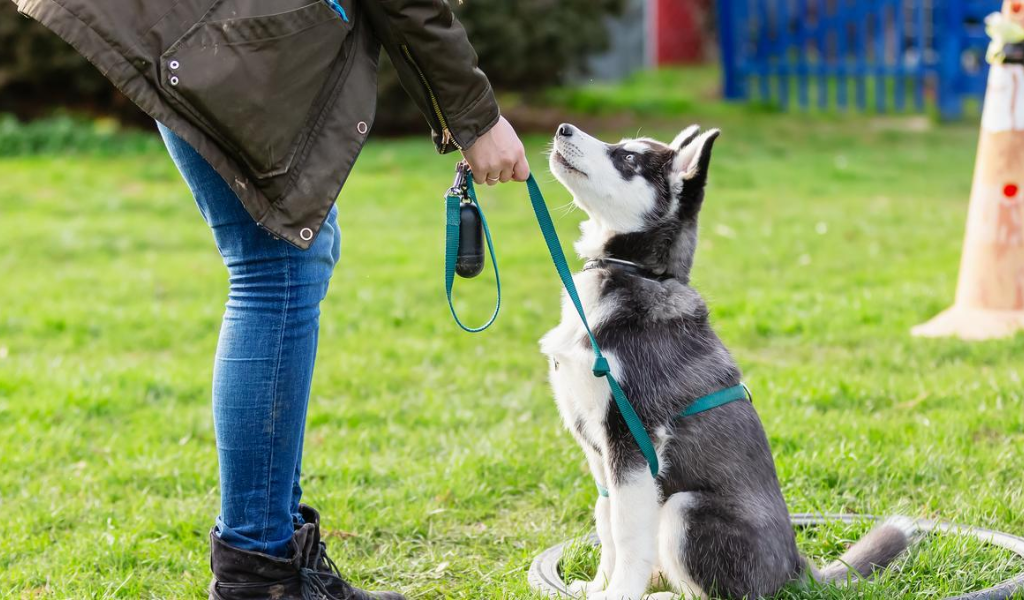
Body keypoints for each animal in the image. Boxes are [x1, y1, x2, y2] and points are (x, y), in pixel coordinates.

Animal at [544, 122, 913, 597]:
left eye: (627, 158)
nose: (563, 128)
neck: (636, 273)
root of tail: (795, 567)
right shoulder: (600, 450)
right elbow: (605, 520)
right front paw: (597, 586)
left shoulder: (633, 438)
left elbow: (627, 532)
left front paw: (619, 592)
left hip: (684, 507)